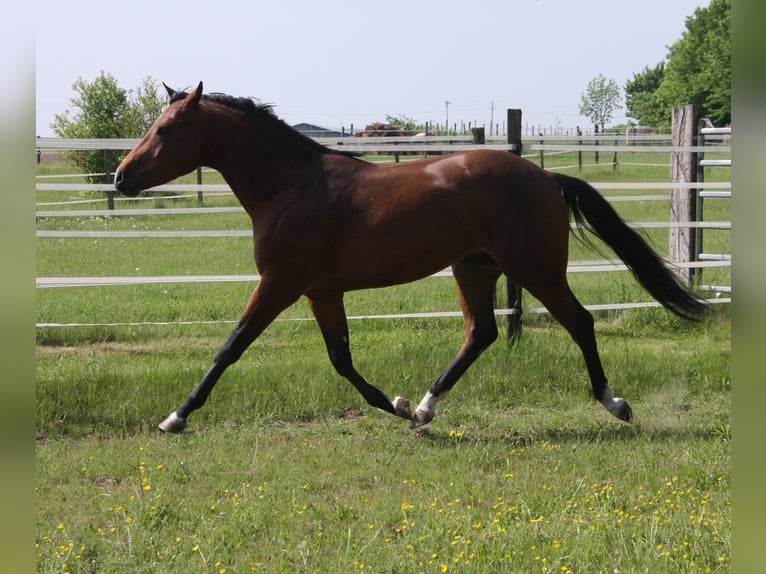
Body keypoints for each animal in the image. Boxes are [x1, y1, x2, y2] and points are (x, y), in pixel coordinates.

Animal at [114, 82, 705, 433]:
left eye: (167, 128)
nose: (121, 177)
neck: (293, 186)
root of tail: (544, 176)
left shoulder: (281, 283)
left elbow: (230, 347)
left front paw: (176, 416)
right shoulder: (321, 291)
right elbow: (341, 359)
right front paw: (396, 407)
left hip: (534, 267)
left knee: (578, 321)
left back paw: (615, 404)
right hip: (474, 268)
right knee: (481, 334)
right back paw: (424, 406)